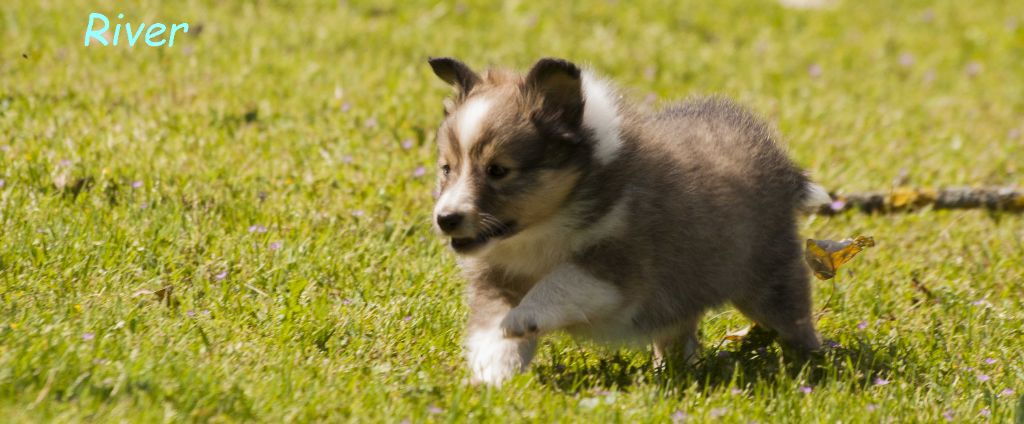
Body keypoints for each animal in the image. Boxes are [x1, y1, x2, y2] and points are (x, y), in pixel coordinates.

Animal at [425, 57, 831, 387]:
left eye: (498, 170)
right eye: (446, 168)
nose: (446, 219)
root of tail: (782, 165)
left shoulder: (619, 265)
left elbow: (560, 281)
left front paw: (521, 317)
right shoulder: (496, 277)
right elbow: (491, 327)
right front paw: (492, 374)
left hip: (768, 276)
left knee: (794, 316)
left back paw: (814, 361)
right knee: (677, 330)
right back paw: (673, 369)